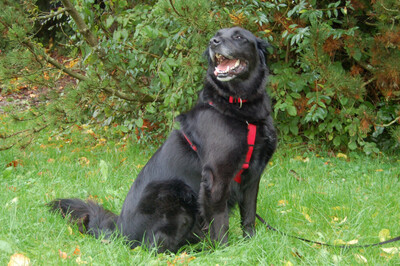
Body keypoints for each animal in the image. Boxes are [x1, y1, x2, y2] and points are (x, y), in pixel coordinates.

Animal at [48, 26, 276, 251]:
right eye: (217, 35)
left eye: (238, 36)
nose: (214, 42)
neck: (239, 110)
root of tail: (120, 232)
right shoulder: (217, 176)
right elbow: (220, 223)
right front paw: (225, 252)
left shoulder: (253, 175)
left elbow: (249, 215)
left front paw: (251, 243)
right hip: (173, 194)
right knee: (154, 246)